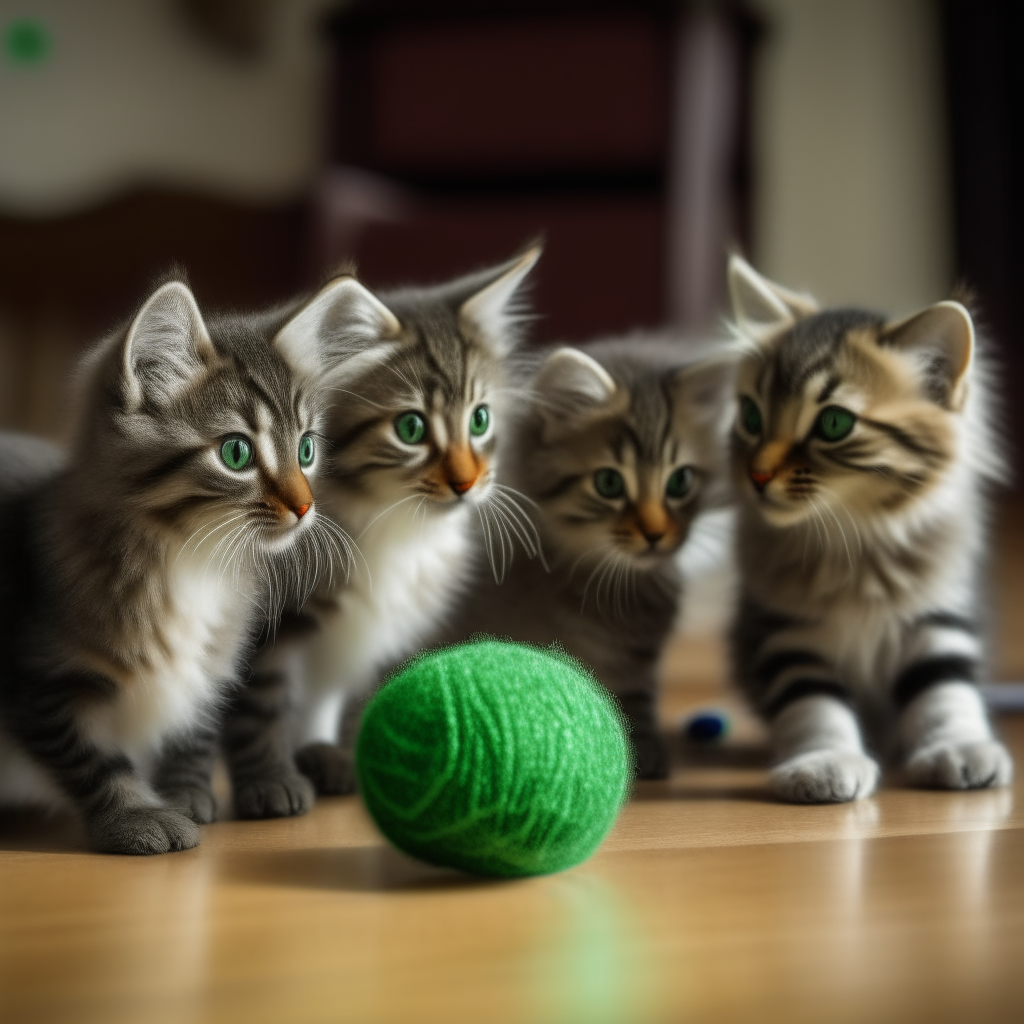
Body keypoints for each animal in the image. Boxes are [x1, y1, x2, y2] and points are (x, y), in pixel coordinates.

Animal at [0, 276, 364, 851]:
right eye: (237, 454)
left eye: (306, 449)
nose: (306, 507)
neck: (190, 560)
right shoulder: (39, 679)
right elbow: (91, 758)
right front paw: (136, 816)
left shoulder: (214, 661)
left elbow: (191, 728)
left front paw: (184, 793)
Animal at [224, 247, 544, 815]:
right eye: (410, 428)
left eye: (480, 420)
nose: (467, 483)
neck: (392, 526)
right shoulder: (267, 621)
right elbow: (258, 707)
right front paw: (271, 783)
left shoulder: (367, 635)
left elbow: (336, 699)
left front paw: (334, 756)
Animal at [729, 253, 1007, 798]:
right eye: (751, 416)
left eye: (834, 424)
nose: (757, 475)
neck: (858, 540)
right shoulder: (786, 633)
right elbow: (813, 707)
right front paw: (822, 763)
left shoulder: (939, 614)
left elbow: (944, 692)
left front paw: (958, 748)